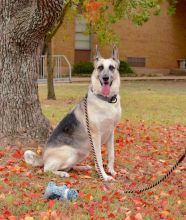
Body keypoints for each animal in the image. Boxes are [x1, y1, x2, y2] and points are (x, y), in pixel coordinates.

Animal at [24, 46, 121, 180]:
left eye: (111, 67)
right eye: (100, 67)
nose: (105, 78)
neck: (106, 100)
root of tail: (43, 157)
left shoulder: (111, 133)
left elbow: (111, 154)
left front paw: (111, 170)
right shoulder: (96, 136)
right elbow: (99, 159)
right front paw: (104, 176)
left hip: (81, 153)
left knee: (69, 167)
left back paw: (82, 167)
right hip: (71, 152)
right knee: (47, 169)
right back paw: (62, 173)